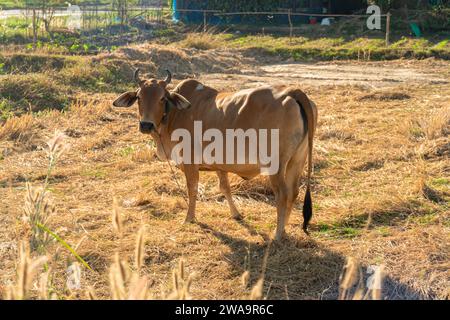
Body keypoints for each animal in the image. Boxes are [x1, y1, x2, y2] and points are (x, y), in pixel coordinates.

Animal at [112, 70, 316, 240]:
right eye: (139, 97)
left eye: (162, 98)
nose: (146, 125)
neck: (174, 115)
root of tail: (292, 91)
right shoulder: (219, 164)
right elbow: (225, 187)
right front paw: (236, 214)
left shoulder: (190, 162)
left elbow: (192, 189)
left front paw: (189, 218)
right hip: (297, 161)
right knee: (294, 192)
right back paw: (285, 228)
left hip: (276, 165)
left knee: (283, 194)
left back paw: (278, 233)